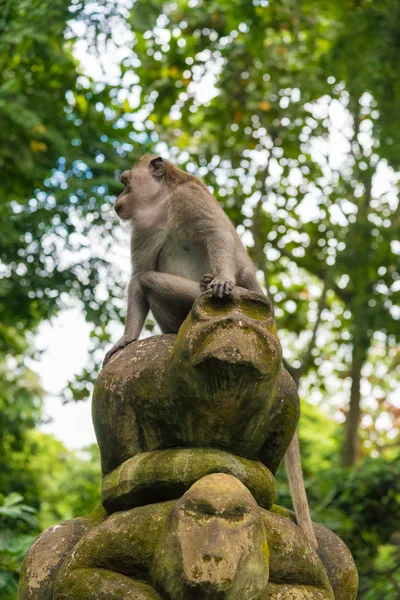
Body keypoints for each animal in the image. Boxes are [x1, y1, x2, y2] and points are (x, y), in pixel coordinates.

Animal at [103, 156, 318, 552]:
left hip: (246, 292)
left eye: (125, 182)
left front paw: (220, 280)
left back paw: (214, 287)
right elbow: (139, 274)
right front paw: (126, 338)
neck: (164, 203)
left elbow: (216, 235)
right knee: (149, 280)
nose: (117, 200)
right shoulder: (144, 227)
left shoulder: (190, 199)